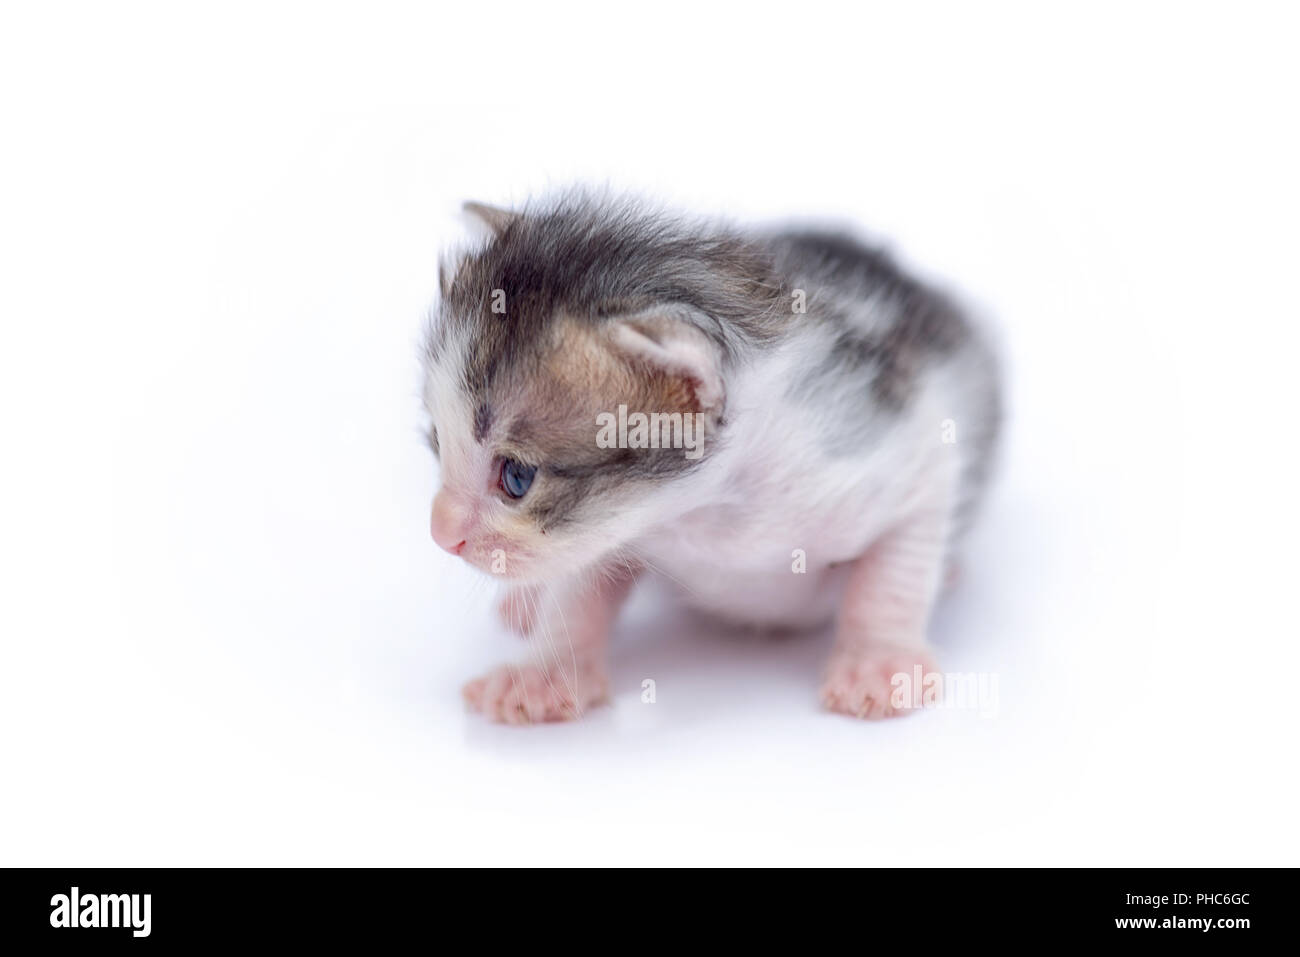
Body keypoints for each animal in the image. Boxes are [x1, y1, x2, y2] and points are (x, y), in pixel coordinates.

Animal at [421, 191, 998, 722]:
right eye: (437, 441)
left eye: (517, 477)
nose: (441, 535)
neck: (706, 507)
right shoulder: (613, 525)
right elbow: (579, 586)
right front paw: (542, 675)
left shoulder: (896, 448)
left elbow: (897, 565)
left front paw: (878, 665)